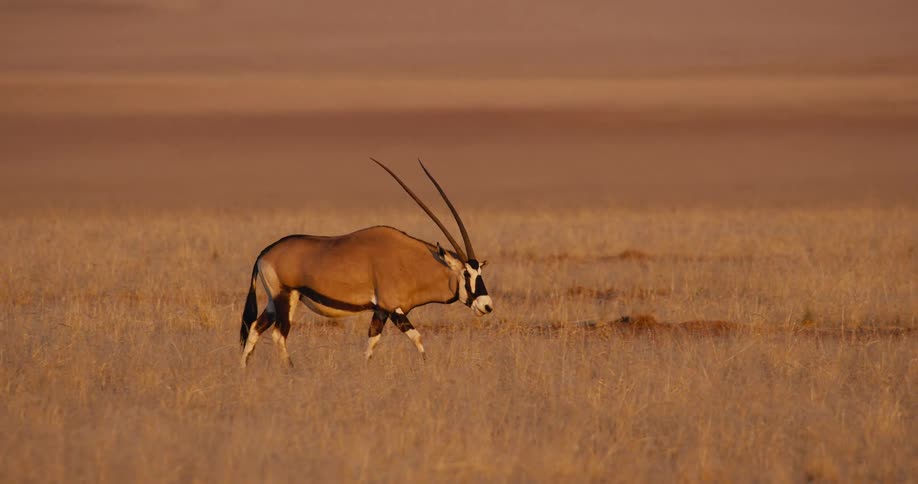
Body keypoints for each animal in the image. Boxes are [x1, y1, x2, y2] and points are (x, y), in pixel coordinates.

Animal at [239, 158, 493, 368]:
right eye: (466, 274)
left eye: (479, 271)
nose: (487, 306)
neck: (411, 261)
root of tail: (265, 253)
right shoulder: (392, 308)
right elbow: (417, 338)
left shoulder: (380, 310)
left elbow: (372, 342)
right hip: (286, 297)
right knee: (278, 335)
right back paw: (290, 371)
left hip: (275, 301)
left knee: (254, 329)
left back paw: (243, 371)